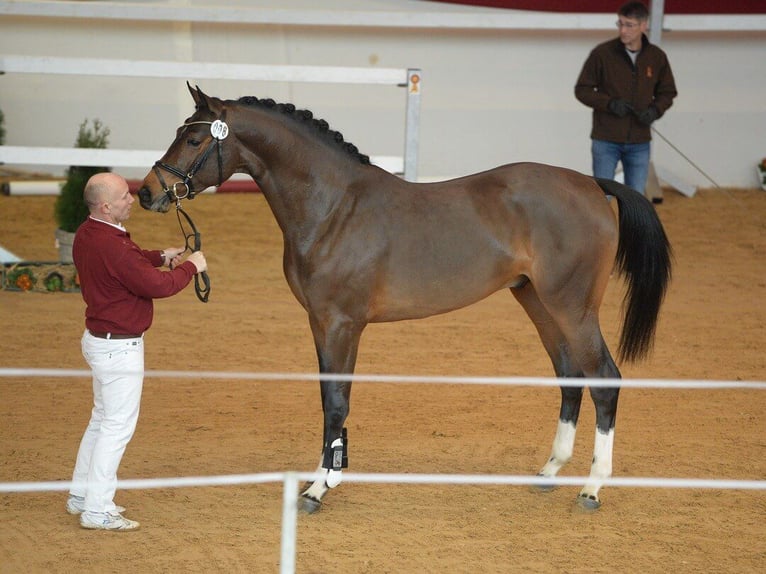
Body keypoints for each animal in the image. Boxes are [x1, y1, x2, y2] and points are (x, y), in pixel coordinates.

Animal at [138, 84, 672, 512]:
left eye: (193, 139)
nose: (147, 192)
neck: (334, 208)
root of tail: (591, 184)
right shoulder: (320, 323)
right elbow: (329, 397)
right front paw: (330, 471)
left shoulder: (341, 323)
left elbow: (337, 401)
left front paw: (317, 488)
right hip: (538, 303)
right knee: (569, 376)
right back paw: (549, 471)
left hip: (572, 307)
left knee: (604, 379)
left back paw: (592, 488)